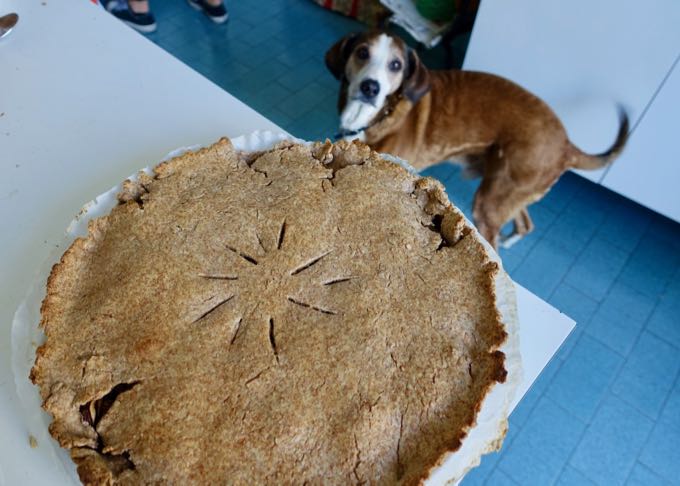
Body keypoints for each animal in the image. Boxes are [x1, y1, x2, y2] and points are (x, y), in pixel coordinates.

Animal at [324, 31, 628, 251]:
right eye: (362, 53)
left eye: (395, 65)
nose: (370, 87)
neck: (374, 115)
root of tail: (567, 144)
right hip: (509, 191)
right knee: (525, 223)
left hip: (491, 199)